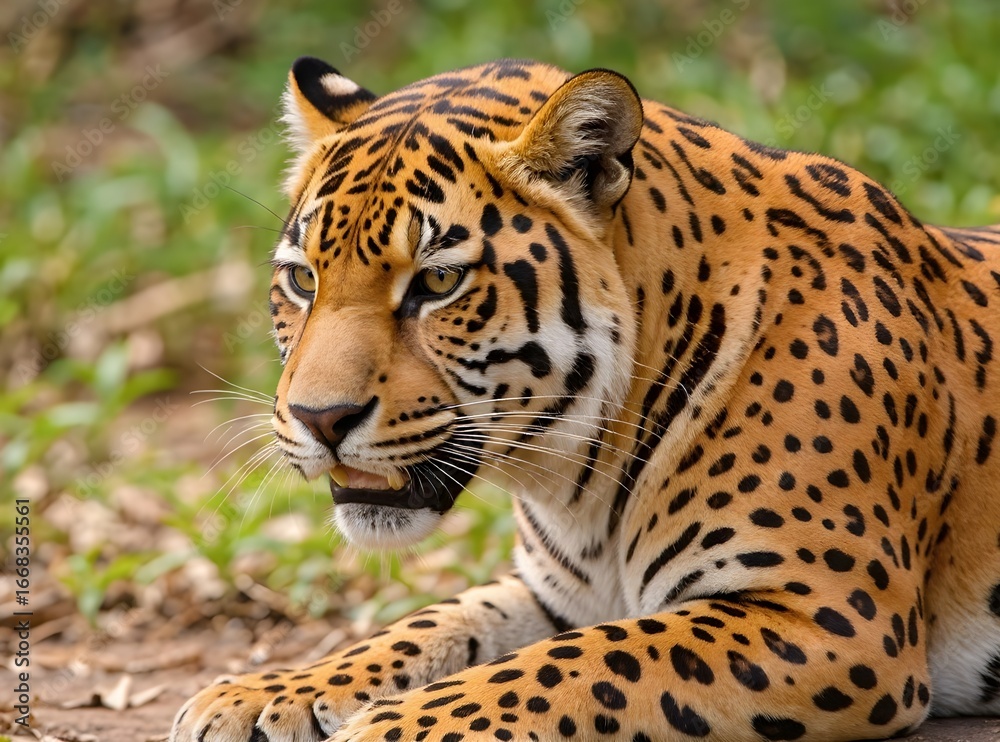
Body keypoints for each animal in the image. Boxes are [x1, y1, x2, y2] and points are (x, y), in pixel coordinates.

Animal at [172, 57, 1000, 741]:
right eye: (302, 279)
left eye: (439, 281)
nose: (321, 420)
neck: (579, 478)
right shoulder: (555, 594)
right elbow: (432, 623)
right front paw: (267, 690)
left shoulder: (830, 615)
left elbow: (570, 668)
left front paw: (384, 731)